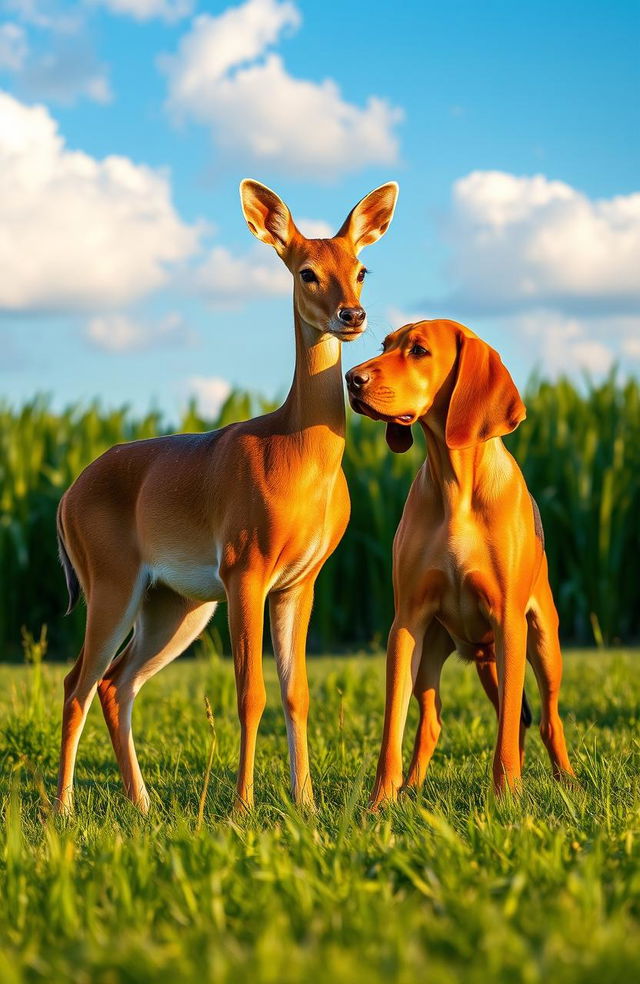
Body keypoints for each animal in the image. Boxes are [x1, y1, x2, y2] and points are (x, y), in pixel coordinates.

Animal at [55, 179, 398, 816]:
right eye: (306, 271)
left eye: (362, 269)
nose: (353, 315)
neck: (298, 455)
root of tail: (65, 497)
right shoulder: (245, 564)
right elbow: (250, 693)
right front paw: (242, 808)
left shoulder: (300, 580)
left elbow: (296, 691)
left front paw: (305, 803)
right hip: (111, 578)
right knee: (77, 683)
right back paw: (62, 809)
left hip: (176, 602)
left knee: (116, 683)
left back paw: (143, 804)